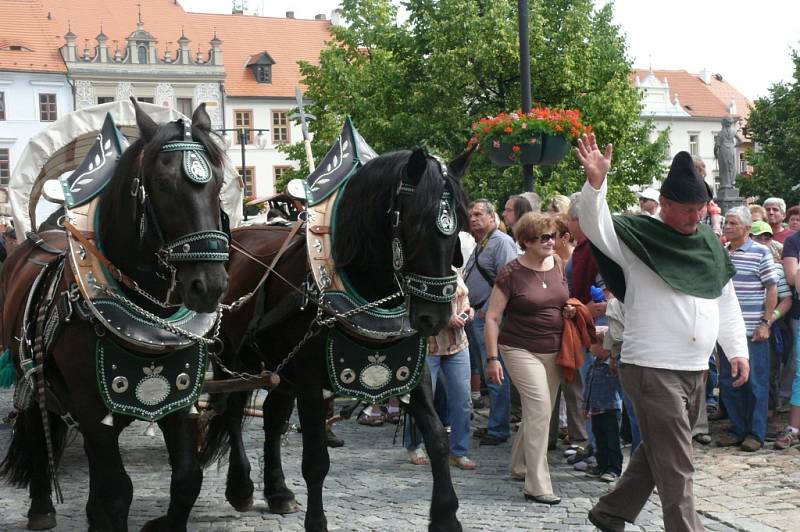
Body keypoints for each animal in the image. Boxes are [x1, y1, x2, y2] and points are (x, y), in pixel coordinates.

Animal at [2, 101, 228, 532]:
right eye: (163, 184)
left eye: (220, 182)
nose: (209, 285)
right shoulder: (92, 406)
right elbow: (118, 491)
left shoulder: (180, 399)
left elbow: (187, 478)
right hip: (32, 379)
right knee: (38, 433)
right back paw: (41, 506)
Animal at [200, 147, 472, 532]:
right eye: (415, 225)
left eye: (458, 227)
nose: (434, 318)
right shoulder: (311, 380)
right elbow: (315, 459)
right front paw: (317, 522)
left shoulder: (413, 371)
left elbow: (436, 437)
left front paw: (446, 516)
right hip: (234, 361)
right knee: (232, 410)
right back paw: (241, 487)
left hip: (279, 368)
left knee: (272, 417)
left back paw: (278, 492)